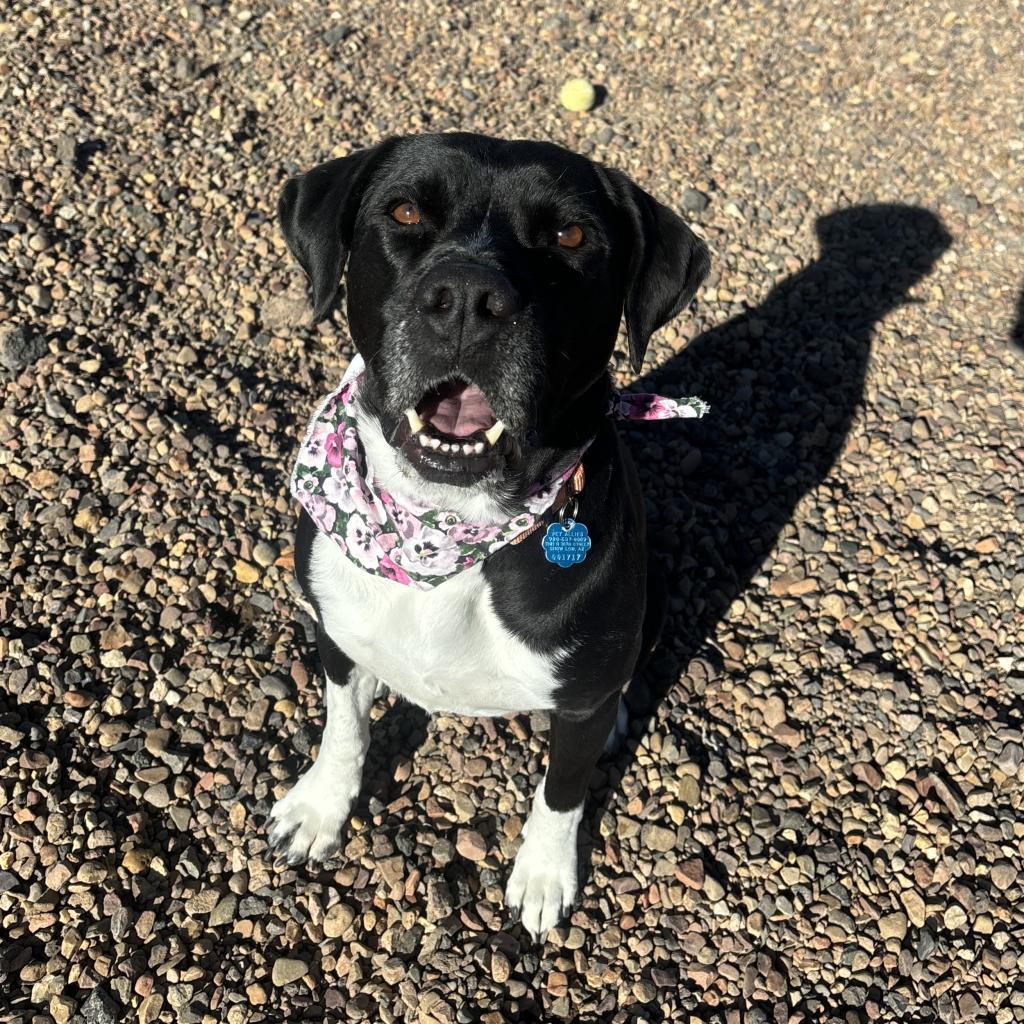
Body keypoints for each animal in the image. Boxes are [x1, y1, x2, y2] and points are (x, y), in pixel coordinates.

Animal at [268, 136, 708, 942]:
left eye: (571, 235)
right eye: (404, 212)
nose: (468, 299)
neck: (443, 525)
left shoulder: (577, 704)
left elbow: (562, 793)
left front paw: (544, 876)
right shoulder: (336, 634)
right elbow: (344, 729)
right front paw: (319, 809)